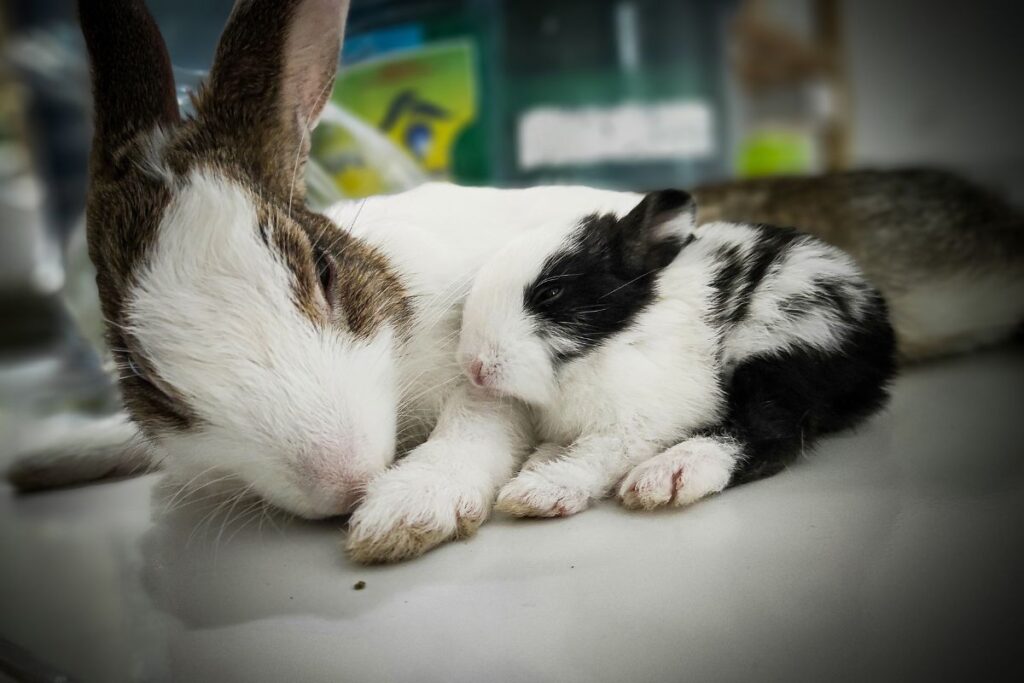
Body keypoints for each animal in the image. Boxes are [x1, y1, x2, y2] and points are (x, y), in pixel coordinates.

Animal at [452, 189, 896, 519]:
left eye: (550, 292)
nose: (475, 367)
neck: (615, 341)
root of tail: (879, 330)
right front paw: (536, 465)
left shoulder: (635, 425)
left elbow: (597, 454)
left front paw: (537, 492)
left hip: (783, 346)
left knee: (767, 433)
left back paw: (667, 475)